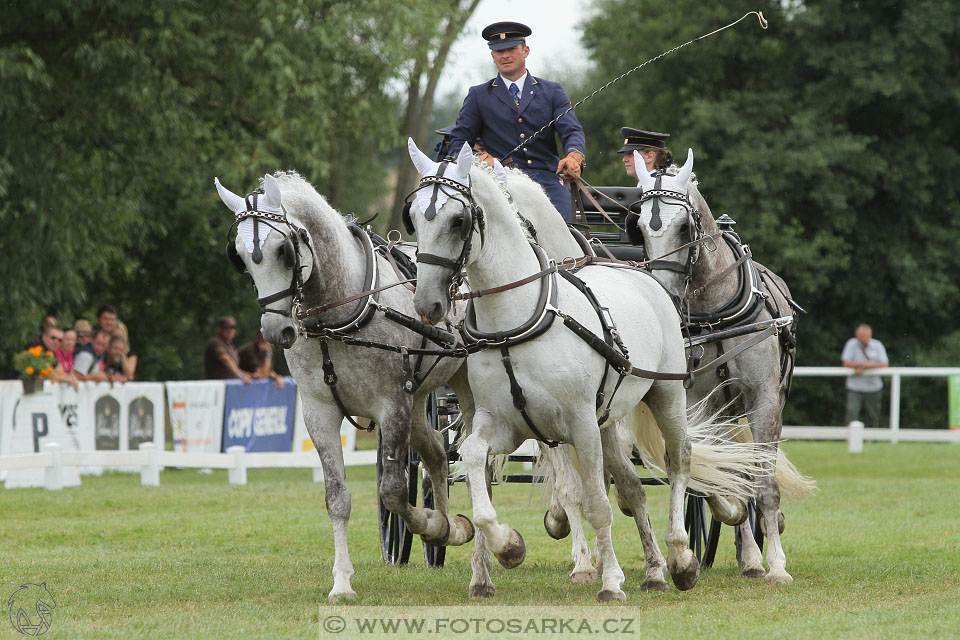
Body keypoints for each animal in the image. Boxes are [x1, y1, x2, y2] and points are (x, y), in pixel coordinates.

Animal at [214, 171, 476, 600]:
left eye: (284, 250)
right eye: (239, 255)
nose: (275, 331)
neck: (340, 311)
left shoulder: (391, 404)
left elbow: (392, 490)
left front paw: (429, 523)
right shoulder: (320, 411)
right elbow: (337, 497)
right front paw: (342, 581)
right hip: (419, 397)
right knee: (438, 454)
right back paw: (447, 531)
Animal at [404, 140, 764, 600]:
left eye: (458, 220)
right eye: (414, 218)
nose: (427, 303)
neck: (517, 320)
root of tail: (646, 276)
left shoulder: (579, 424)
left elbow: (597, 503)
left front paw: (609, 581)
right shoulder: (502, 424)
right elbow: (473, 463)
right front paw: (508, 547)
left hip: (666, 396)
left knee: (678, 460)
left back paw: (682, 559)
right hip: (608, 417)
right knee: (630, 484)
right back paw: (654, 571)